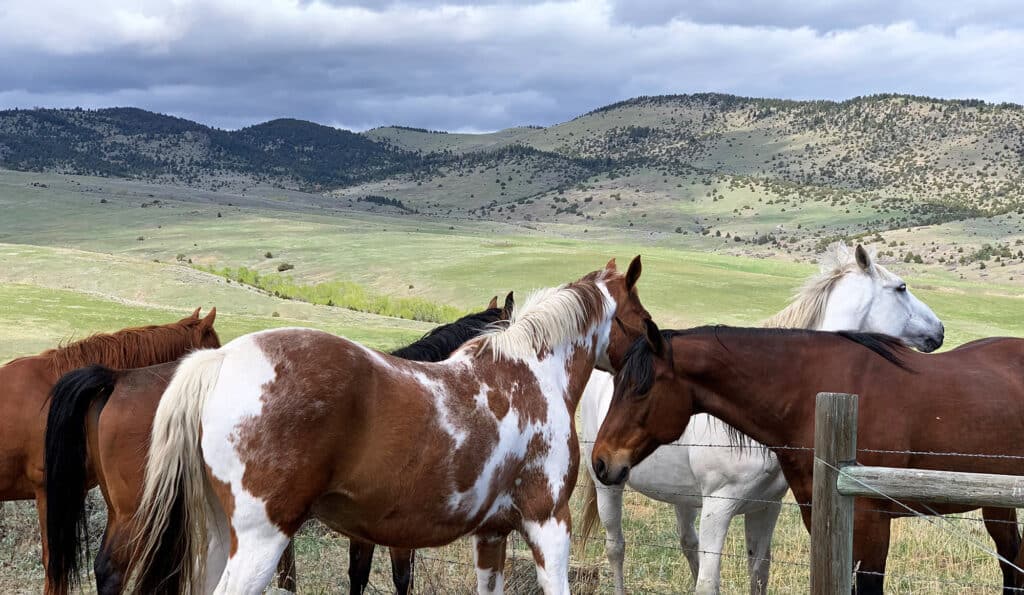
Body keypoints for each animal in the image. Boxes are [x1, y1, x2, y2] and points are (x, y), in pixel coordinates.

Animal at [43, 294, 515, 595]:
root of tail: (116, 379)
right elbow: (401, 579)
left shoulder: (364, 527)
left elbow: (358, 574)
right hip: (141, 514)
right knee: (112, 571)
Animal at [125, 257, 649, 595]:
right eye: (643, 320)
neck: (530, 371)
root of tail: (218, 361)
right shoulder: (547, 523)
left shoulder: (491, 535)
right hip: (261, 542)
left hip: (217, 537)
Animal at [577, 243, 946, 594]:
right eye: (901, 287)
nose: (940, 330)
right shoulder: (718, 505)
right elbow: (709, 582)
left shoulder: (766, 505)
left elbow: (758, 572)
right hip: (609, 485)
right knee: (617, 547)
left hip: (681, 495)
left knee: (687, 543)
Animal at [592, 320, 1024, 594]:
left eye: (641, 389)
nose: (601, 461)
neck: (814, 394)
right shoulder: (820, 513)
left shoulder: (872, 520)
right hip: (997, 502)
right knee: (1012, 559)